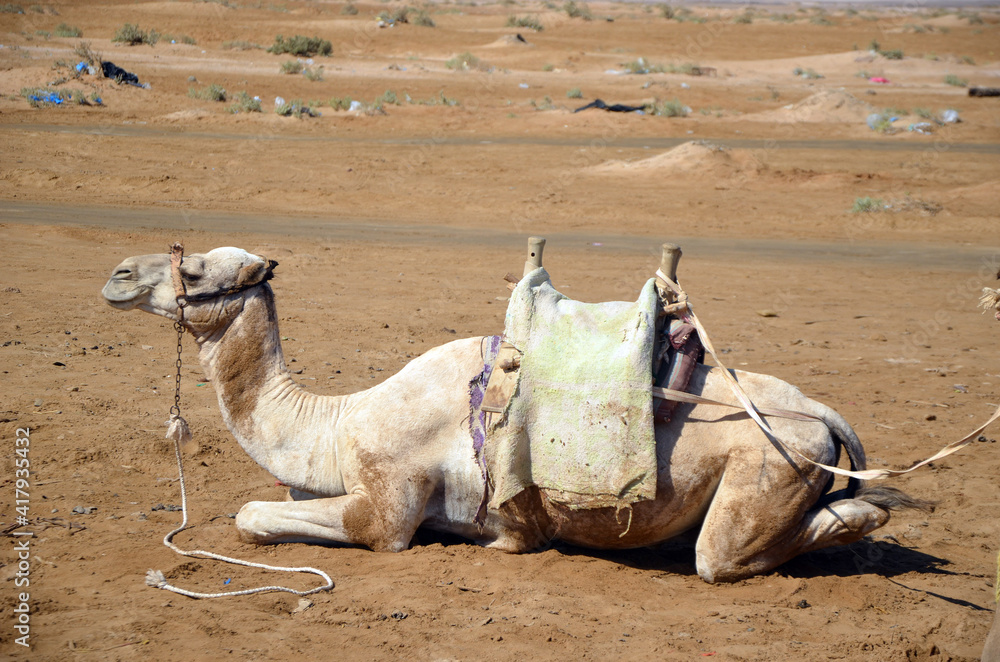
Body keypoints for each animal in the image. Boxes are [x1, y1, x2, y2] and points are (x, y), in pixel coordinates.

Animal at [102, 245, 922, 583]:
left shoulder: (389, 504)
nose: (116, 275)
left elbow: (254, 517)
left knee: (725, 556)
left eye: (191, 270)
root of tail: (819, 413)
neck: (336, 421)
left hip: (765, 464)